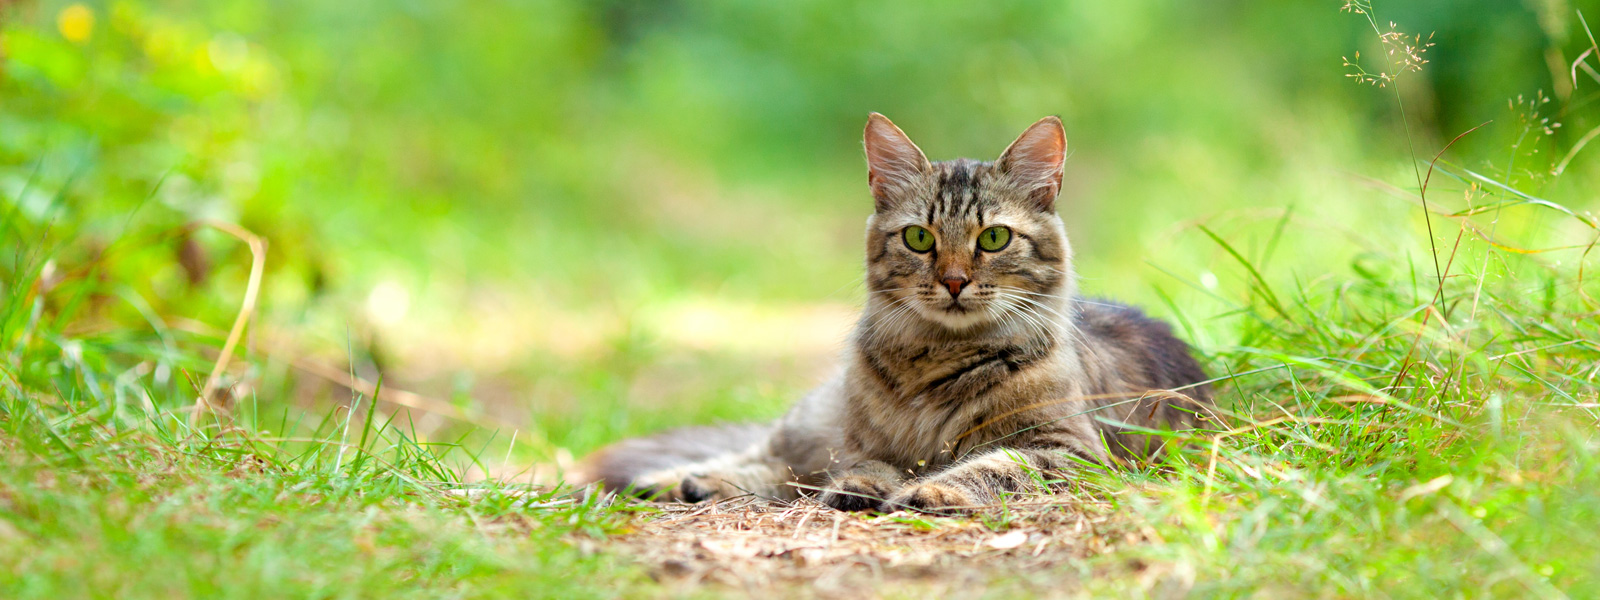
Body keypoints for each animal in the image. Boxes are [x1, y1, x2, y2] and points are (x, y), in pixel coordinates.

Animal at [566, 115, 1209, 515]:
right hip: (814, 422)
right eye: (920, 238)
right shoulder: (859, 441)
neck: (937, 360)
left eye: (994, 238)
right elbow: (868, 465)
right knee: (768, 456)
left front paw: (933, 493)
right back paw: (679, 480)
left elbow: (990, 465)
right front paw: (865, 488)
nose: (954, 281)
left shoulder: (1068, 449)